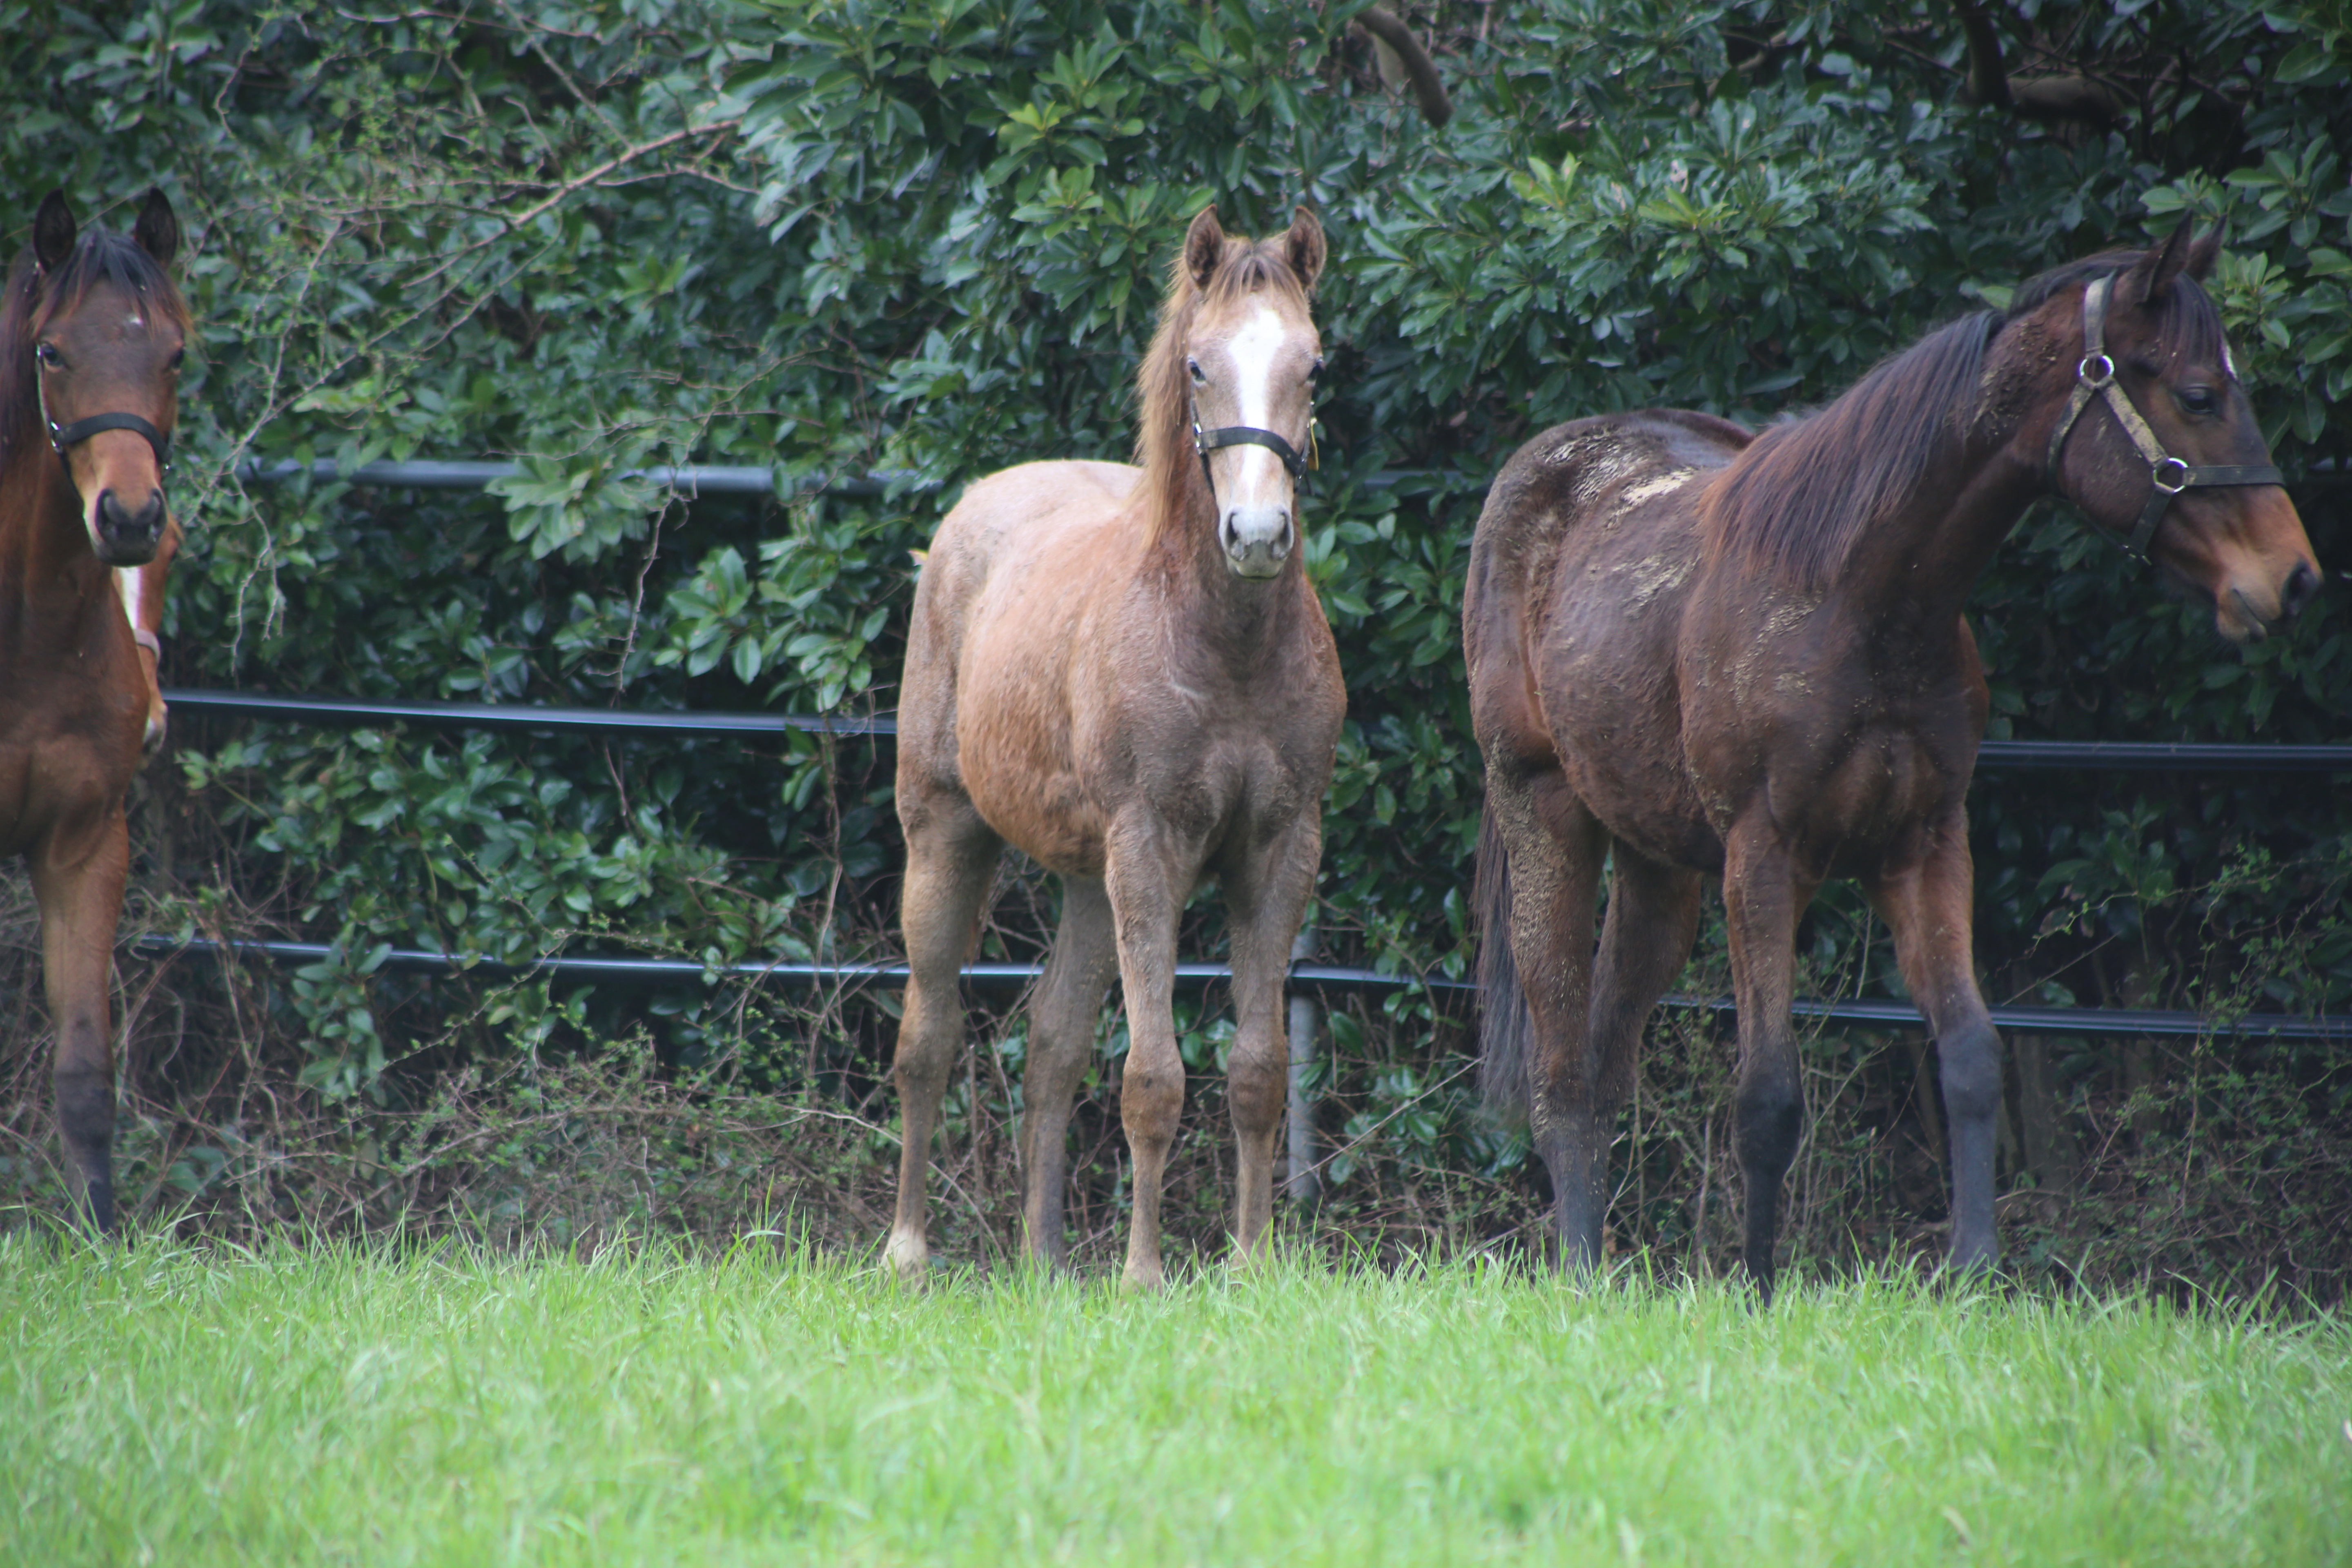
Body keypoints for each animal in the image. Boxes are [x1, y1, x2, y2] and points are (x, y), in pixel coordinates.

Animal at [889, 208, 1354, 1288]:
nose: (1257, 534)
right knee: (928, 1034)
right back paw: (907, 1251)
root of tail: (968, 516)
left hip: (1086, 882)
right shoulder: (1150, 848)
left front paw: (1250, 1263)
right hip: (947, 836)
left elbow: (1256, 1070)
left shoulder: (1279, 850)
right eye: (1197, 365)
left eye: (1311, 365)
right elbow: (1152, 1076)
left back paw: (1043, 1260)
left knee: (1052, 1044)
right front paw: (1143, 1274)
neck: (1224, 645)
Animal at [1468, 223, 2314, 1297]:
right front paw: (1756, 1289)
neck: (1858, 595)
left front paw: (1975, 1277)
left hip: (1659, 868)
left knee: (1607, 1048)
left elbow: (1970, 1058)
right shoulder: (1763, 857)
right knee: (1563, 1070)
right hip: (1544, 816)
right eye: (2198, 394)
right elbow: (1767, 1096)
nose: (2292, 578)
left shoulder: (1925, 843)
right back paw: (1579, 1270)